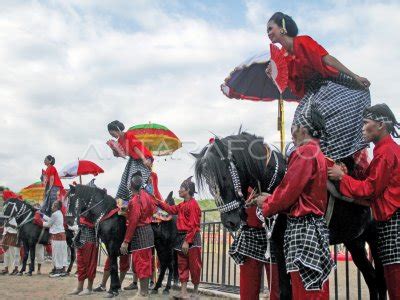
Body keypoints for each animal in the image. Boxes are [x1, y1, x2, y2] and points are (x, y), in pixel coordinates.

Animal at [195, 132, 388, 300]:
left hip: (375, 240)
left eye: (224, 176)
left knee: (380, 281)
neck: (280, 183)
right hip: (355, 242)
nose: (230, 221)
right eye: (208, 183)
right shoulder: (279, 245)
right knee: (372, 280)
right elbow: (284, 290)